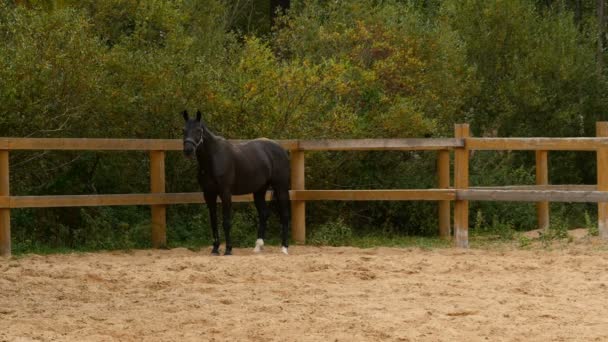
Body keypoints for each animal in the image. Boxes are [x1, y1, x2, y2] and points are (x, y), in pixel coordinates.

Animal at [180, 109, 290, 254]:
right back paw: (257, 247)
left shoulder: (225, 193)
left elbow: (226, 221)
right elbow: (213, 221)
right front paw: (215, 249)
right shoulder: (208, 194)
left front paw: (228, 249)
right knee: (264, 214)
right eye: (183, 130)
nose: (188, 150)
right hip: (259, 190)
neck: (213, 158)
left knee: (285, 215)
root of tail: (281, 149)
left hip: (281, 188)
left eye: (198, 130)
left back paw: (284, 248)